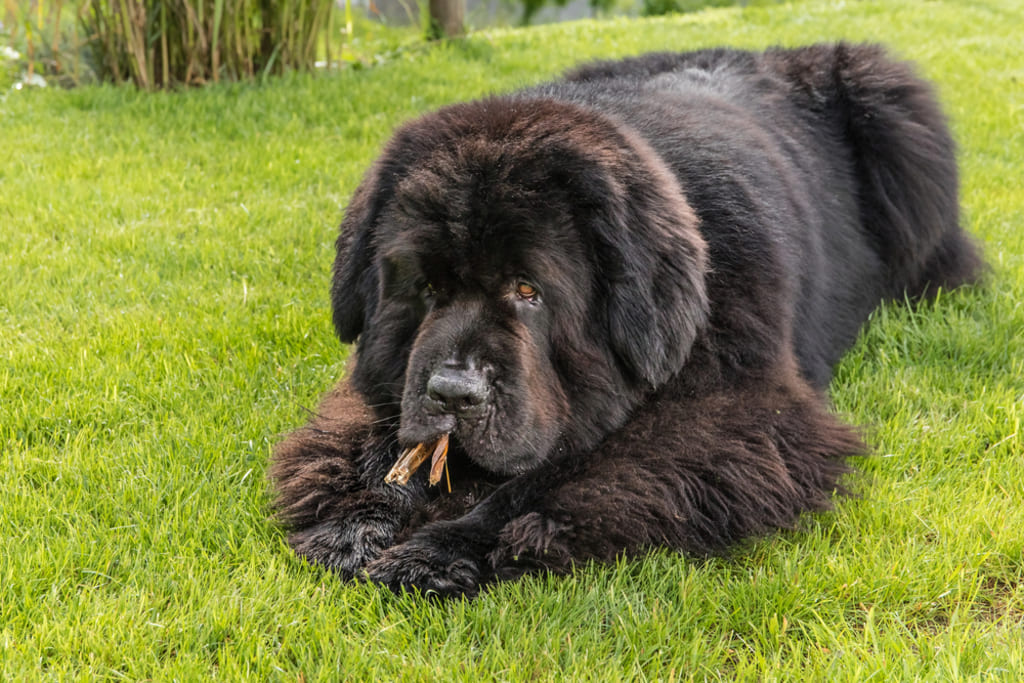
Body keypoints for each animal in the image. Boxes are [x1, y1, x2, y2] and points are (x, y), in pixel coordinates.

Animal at [272, 44, 983, 598]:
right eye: (426, 287)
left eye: (528, 290)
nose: (453, 394)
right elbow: (373, 448)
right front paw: (355, 525)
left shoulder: (733, 416)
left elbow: (558, 478)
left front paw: (437, 551)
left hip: (894, 106)